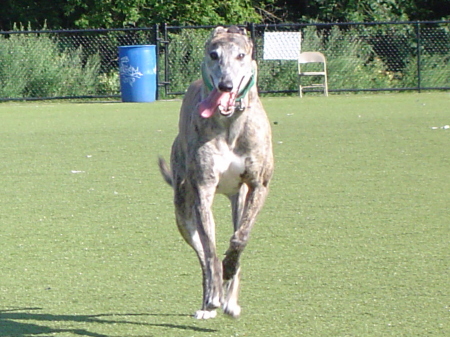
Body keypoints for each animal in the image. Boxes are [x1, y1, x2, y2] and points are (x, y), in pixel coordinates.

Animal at [160, 25, 272, 318]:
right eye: (214, 55)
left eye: (241, 55)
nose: (226, 86)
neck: (230, 122)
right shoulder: (203, 189)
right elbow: (210, 250)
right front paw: (213, 294)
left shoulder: (258, 186)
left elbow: (240, 238)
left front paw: (229, 270)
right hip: (183, 210)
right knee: (201, 254)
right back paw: (210, 300)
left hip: (238, 198)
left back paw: (230, 298)